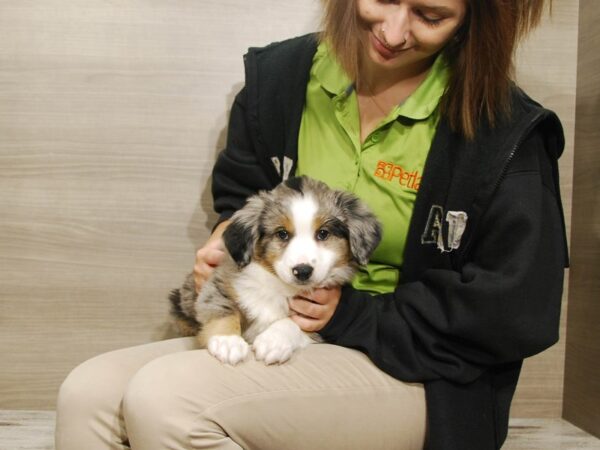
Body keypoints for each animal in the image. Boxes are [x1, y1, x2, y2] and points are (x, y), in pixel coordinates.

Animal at [169, 176, 380, 366]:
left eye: (323, 233)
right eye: (282, 234)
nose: (302, 271)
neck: (279, 286)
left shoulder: (318, 318)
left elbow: (295, 322)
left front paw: (273, 341)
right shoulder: (219, 282)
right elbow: (222, 308)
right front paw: (227, 341)